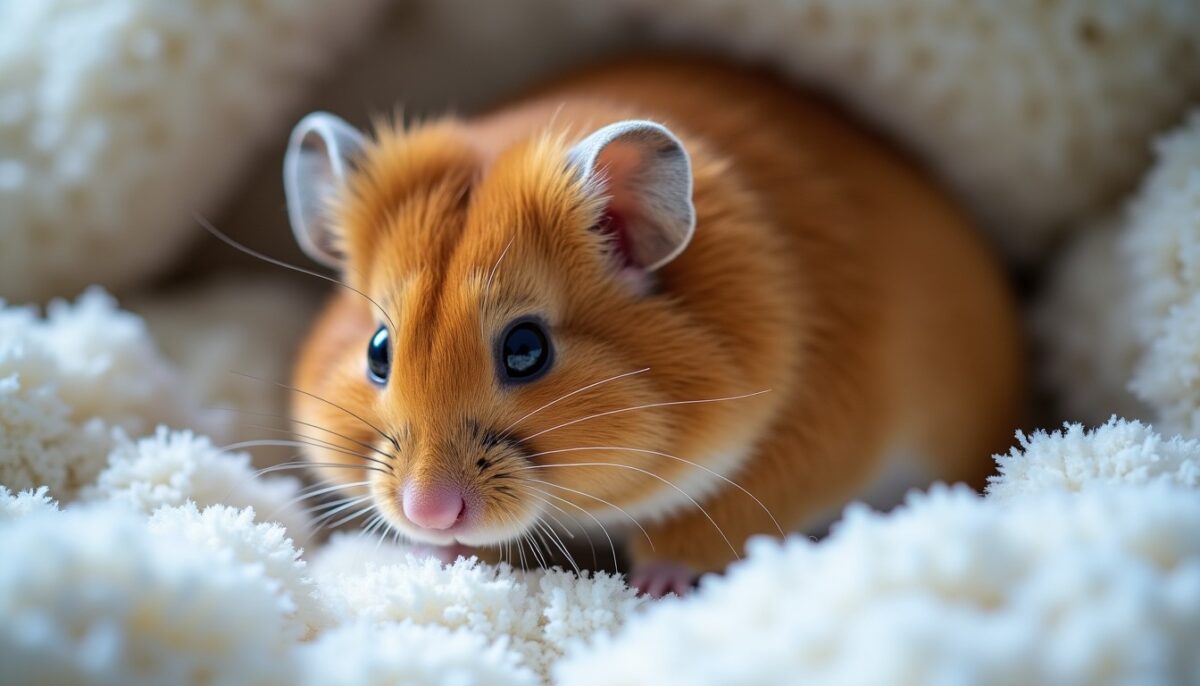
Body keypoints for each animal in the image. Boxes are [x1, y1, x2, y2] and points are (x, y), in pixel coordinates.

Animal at [283, 58, 1025, 596]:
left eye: (526, 350)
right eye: (378, 351)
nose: (427, 513)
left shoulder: (803, 447)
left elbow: (697, 535)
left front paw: (650, 589)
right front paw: (437, 556)